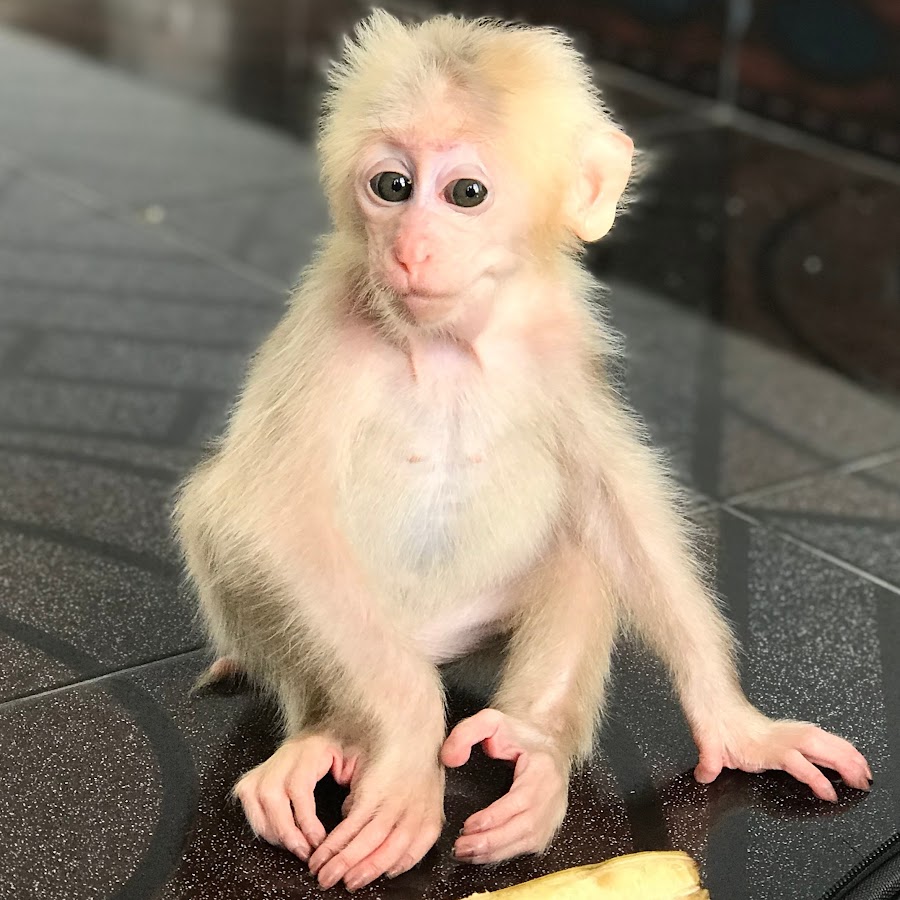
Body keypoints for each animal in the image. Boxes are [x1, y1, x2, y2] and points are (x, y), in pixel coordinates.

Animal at [173, 10, 872, 893]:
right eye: (391, 187)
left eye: (464, 194)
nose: (410, 249)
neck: (448, 341)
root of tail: (428, 639)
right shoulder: (332, 327)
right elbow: (262, 518)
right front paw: (407, 749)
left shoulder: (556, 340)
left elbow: (614, 504)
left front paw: (739, 723)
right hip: (356, 636)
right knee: (230, 532)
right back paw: (329, 735)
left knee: (580, 540)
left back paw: (530, 745)